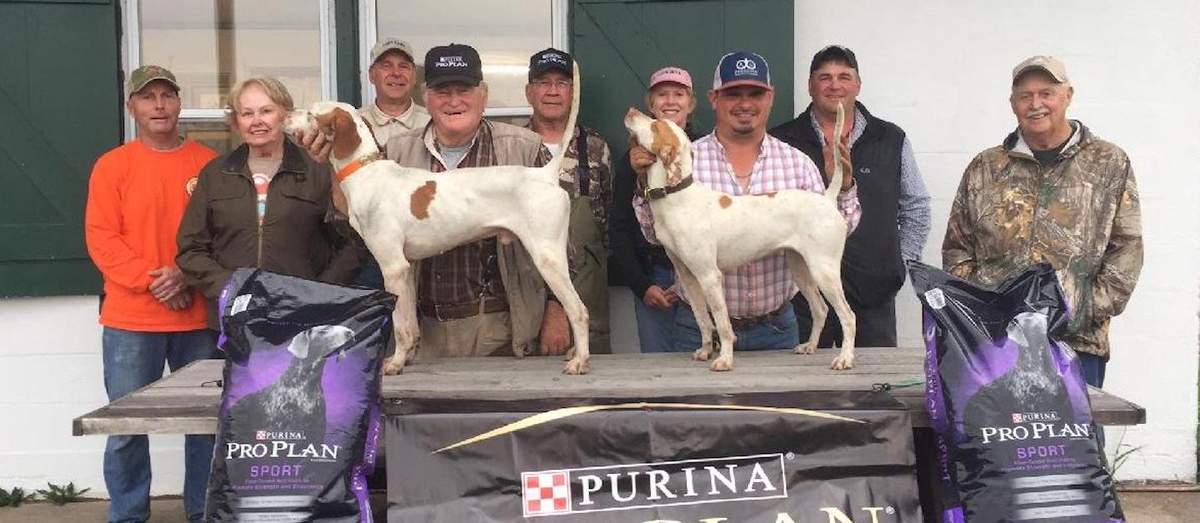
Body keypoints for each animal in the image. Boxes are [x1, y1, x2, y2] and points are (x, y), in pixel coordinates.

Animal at [286, 65, 595, 374]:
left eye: (311, 113)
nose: (287, 113)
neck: (365, 171)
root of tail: (545, 173)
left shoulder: (393, 267)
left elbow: (399, 325)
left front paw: (395, 363)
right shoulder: (407, 268)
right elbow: (410, 325)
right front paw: (407, 357)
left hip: (547, 256)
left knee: (579, 309)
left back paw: (579, 360)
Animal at [624, 104, 859, 369]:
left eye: (655, 125)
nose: (631, 110)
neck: (677, 197)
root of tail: (827, 198)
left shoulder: (710, 276)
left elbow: (722, 324)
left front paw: (724, 359)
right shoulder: (688, 276)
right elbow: (703, 320)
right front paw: (706, 351)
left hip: (824, 270)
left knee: (848, 316)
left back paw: (845, 358)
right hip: (801, 269)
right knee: (820, 310)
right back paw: (809, 346)